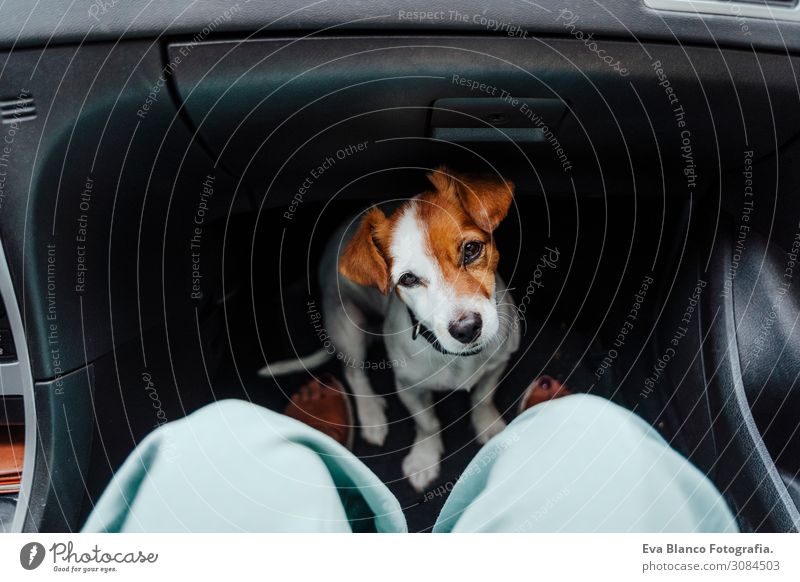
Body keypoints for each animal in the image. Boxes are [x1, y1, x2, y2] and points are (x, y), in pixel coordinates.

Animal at [260, 168, 520, 492]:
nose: (467, 329)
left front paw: (488, 426)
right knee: (354, 373)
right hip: (347, 326)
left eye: (471, 249)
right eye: (408, 279)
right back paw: (370, 415)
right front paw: (424, 458)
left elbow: (482, 399)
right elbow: (427, 423)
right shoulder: (409, 387)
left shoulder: (497, 365)